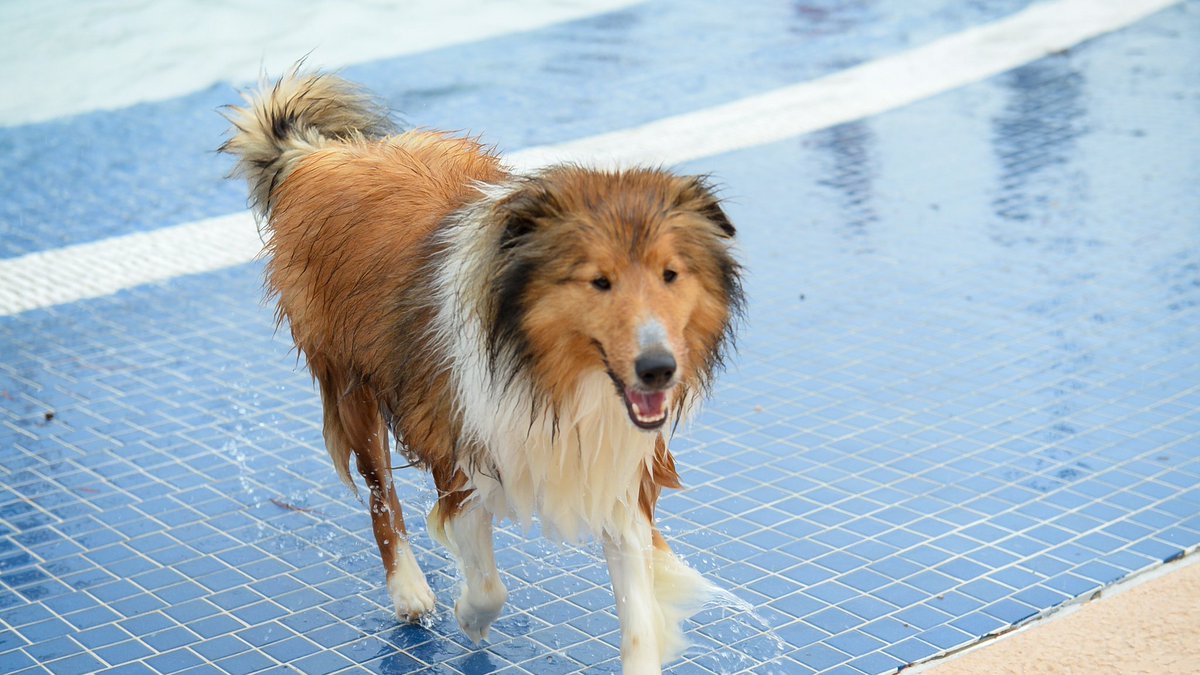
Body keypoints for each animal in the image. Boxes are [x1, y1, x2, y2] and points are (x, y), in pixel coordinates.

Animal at [217, 68, 739, 667]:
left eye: (670, 274)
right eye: (598, 281)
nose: (658, 369)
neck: (551, 379)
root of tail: (320, 154)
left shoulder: (616, 474)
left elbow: (637, 623)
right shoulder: (461, 454)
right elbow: (489, 584)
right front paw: (469, 618)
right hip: (352, 387)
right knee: (380, 498)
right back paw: (410, 592)